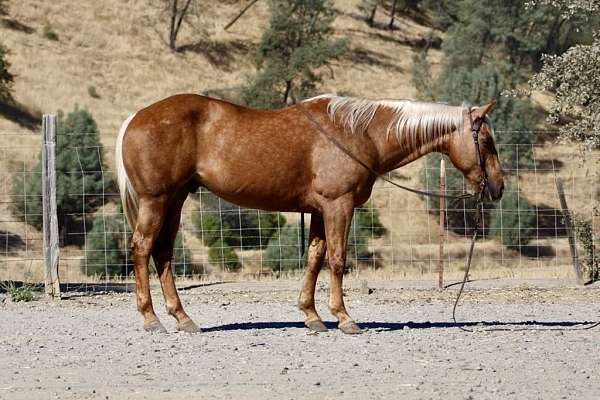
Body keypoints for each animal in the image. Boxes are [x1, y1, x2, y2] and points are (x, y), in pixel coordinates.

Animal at [115, 94, 504, 334]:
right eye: (486, 141)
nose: (497, 188)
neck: (359, 132)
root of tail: (136, 117)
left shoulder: (319, 210)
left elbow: (315, 259)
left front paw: (311, 316)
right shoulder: (338, 205)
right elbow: (337, 260)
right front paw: (344, 318)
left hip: (175, 200)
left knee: (163, 253)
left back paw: (183, 318)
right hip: (155, 200)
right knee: (142, 248)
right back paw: (151, 318)